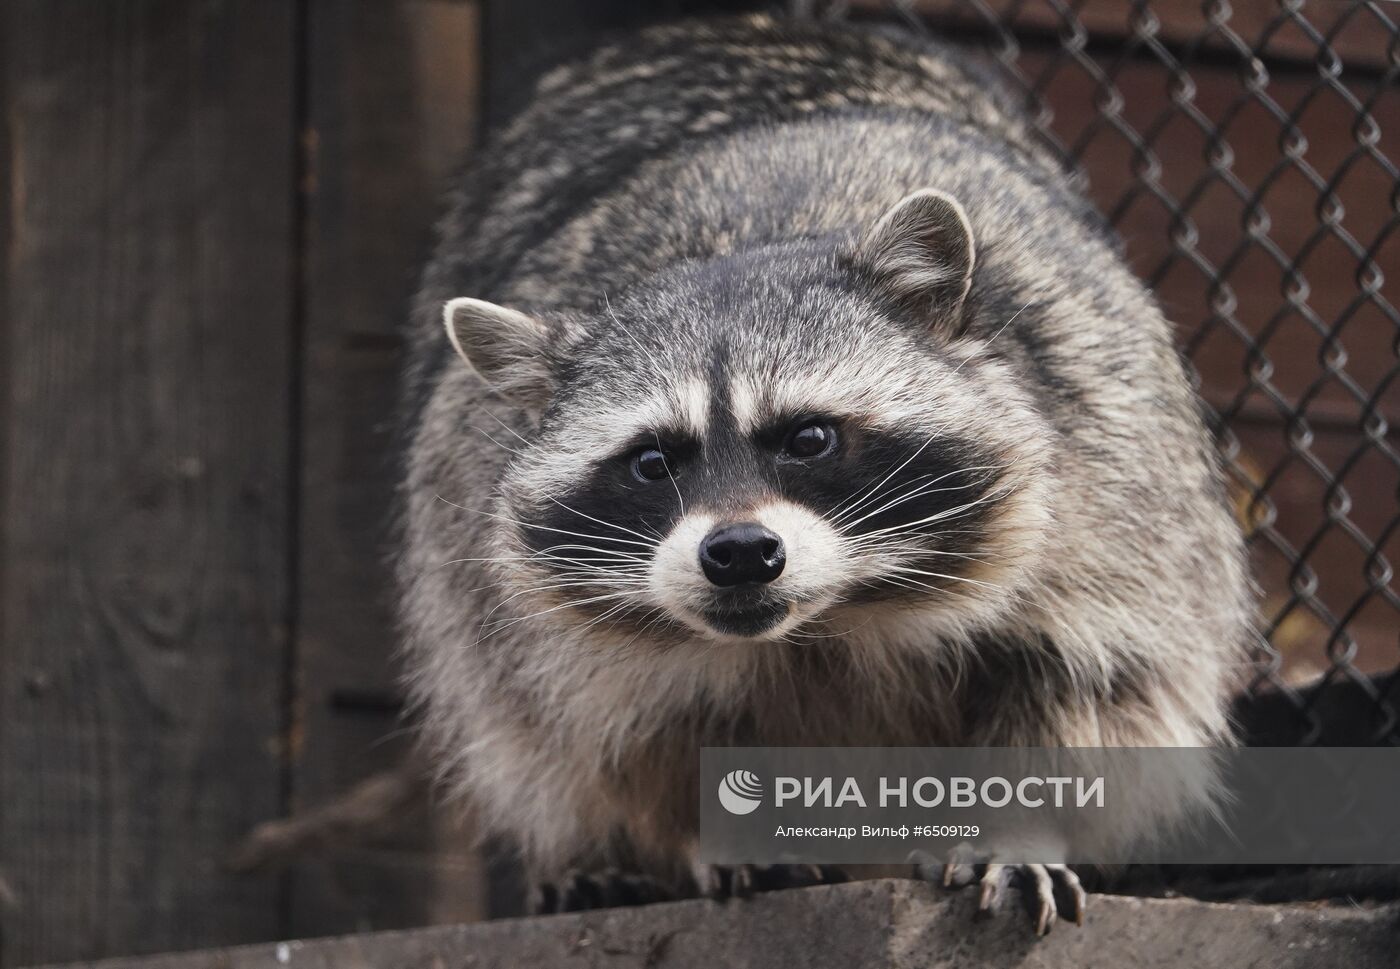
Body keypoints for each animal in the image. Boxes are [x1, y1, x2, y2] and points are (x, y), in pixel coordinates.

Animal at [400, 13, 1254, 929]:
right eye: (653, 462)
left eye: (807, 437)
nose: (740, 551)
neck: (829, 622)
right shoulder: (537, 628)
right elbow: (621, 736)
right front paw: (722, 834)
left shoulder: (1114, 469)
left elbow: (1096, 682)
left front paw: (1017, 825)